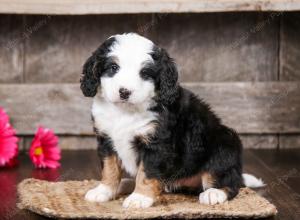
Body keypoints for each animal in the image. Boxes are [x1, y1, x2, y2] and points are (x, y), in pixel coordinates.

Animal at [81, 32, 264, 208]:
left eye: (145, 73)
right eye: (113, 67)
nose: (124, 92)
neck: (125, 112)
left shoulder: (157, 144)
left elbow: (146, 172)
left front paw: (139, 198)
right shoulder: (106, 139)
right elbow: (109, 168)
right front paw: (104, 191)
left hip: (224, 143)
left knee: (230, 183)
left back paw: (215, 193)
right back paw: (125, 184)